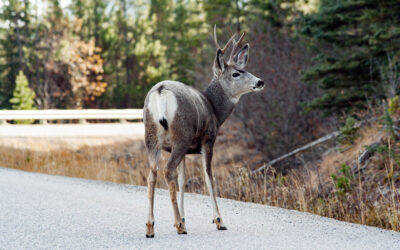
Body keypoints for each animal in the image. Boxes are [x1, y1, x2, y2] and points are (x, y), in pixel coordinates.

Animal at [143, 25, 262, 238]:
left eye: (245, 69)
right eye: (236, 74)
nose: (260, 82)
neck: (215, 108)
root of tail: (161, 92)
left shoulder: (183, 150)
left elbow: (182, 180)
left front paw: (183, 218)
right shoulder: (208, 140)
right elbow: (209, 178)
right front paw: (219, 221)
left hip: (152, 136)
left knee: (153, 174)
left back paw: (151, 227)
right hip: (181, 135)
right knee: (167, 170)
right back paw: (178, 227)